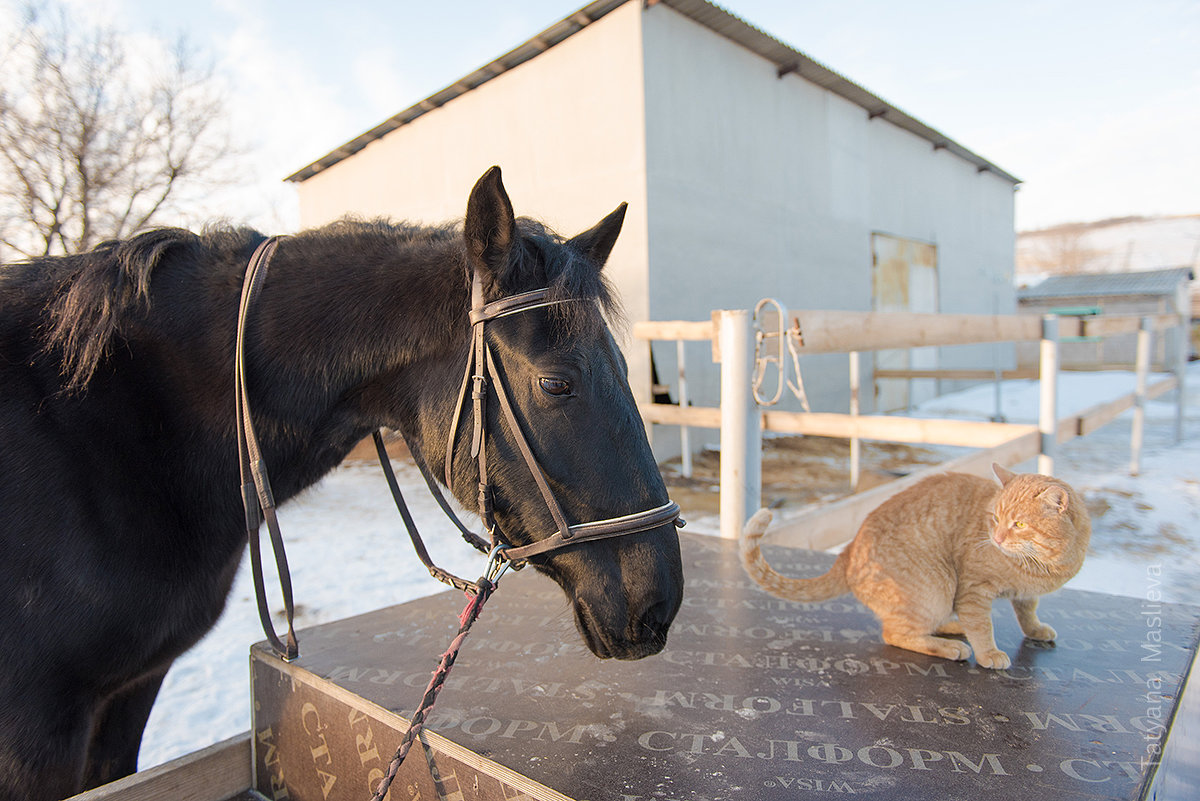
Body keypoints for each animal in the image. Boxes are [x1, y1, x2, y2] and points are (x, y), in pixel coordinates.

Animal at [734, 462, 1094, 671]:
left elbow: (1028, 610)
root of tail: (847, 553)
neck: (1043, 564)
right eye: (995, 518)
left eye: (1018, 524)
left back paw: (951, 627)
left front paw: (1035, 629)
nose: (997, 537)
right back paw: (951, 647)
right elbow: (982, 626)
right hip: (936, 590)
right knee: (895, 633)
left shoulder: (1025, 593)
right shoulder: (974, 590)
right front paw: (989, 653)